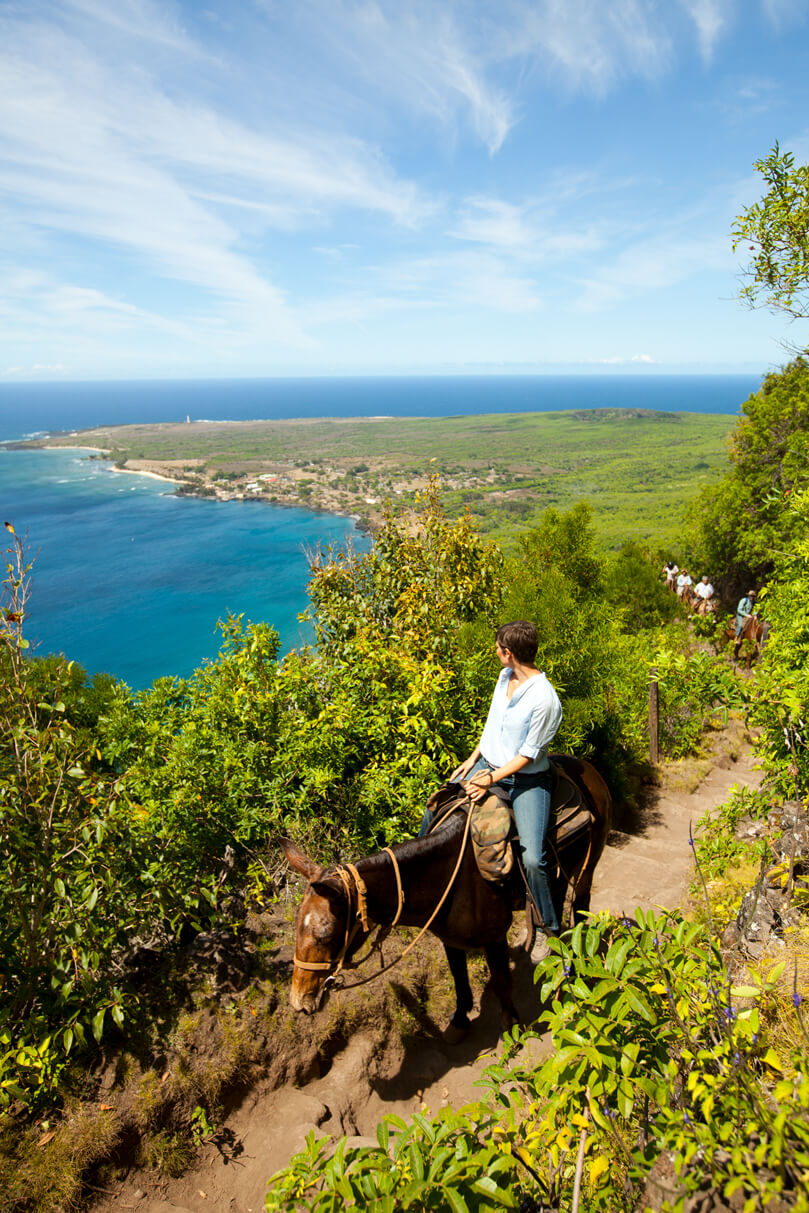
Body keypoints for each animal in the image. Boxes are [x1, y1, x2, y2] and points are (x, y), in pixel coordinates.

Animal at [281, 752, 611, 1038]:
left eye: (325, 935)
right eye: (296, 929)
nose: (298, 1002)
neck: (451, 874)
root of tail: (587, 767)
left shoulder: (493, 938)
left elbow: (502, 981)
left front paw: (512, 1028)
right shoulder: (450, 938)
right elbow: (459, 979)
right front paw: (460, 1020)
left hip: (587, 868)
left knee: (579, 907)